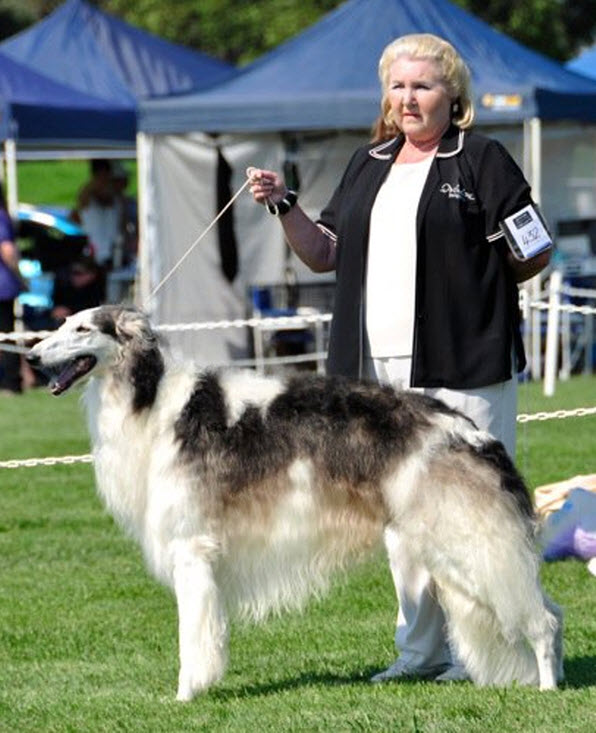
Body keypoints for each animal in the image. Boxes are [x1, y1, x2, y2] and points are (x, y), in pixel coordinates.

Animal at [24, 304, 564, 696]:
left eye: (81, 328)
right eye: (59, 324)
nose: (30, 357)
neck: (152, 398)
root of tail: (468, 432)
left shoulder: (191, 551)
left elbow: (192, 641)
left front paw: (184, 694)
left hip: (473, 546)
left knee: (543, 621)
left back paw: (547, 690)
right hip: (457, 553)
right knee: (549, 611)